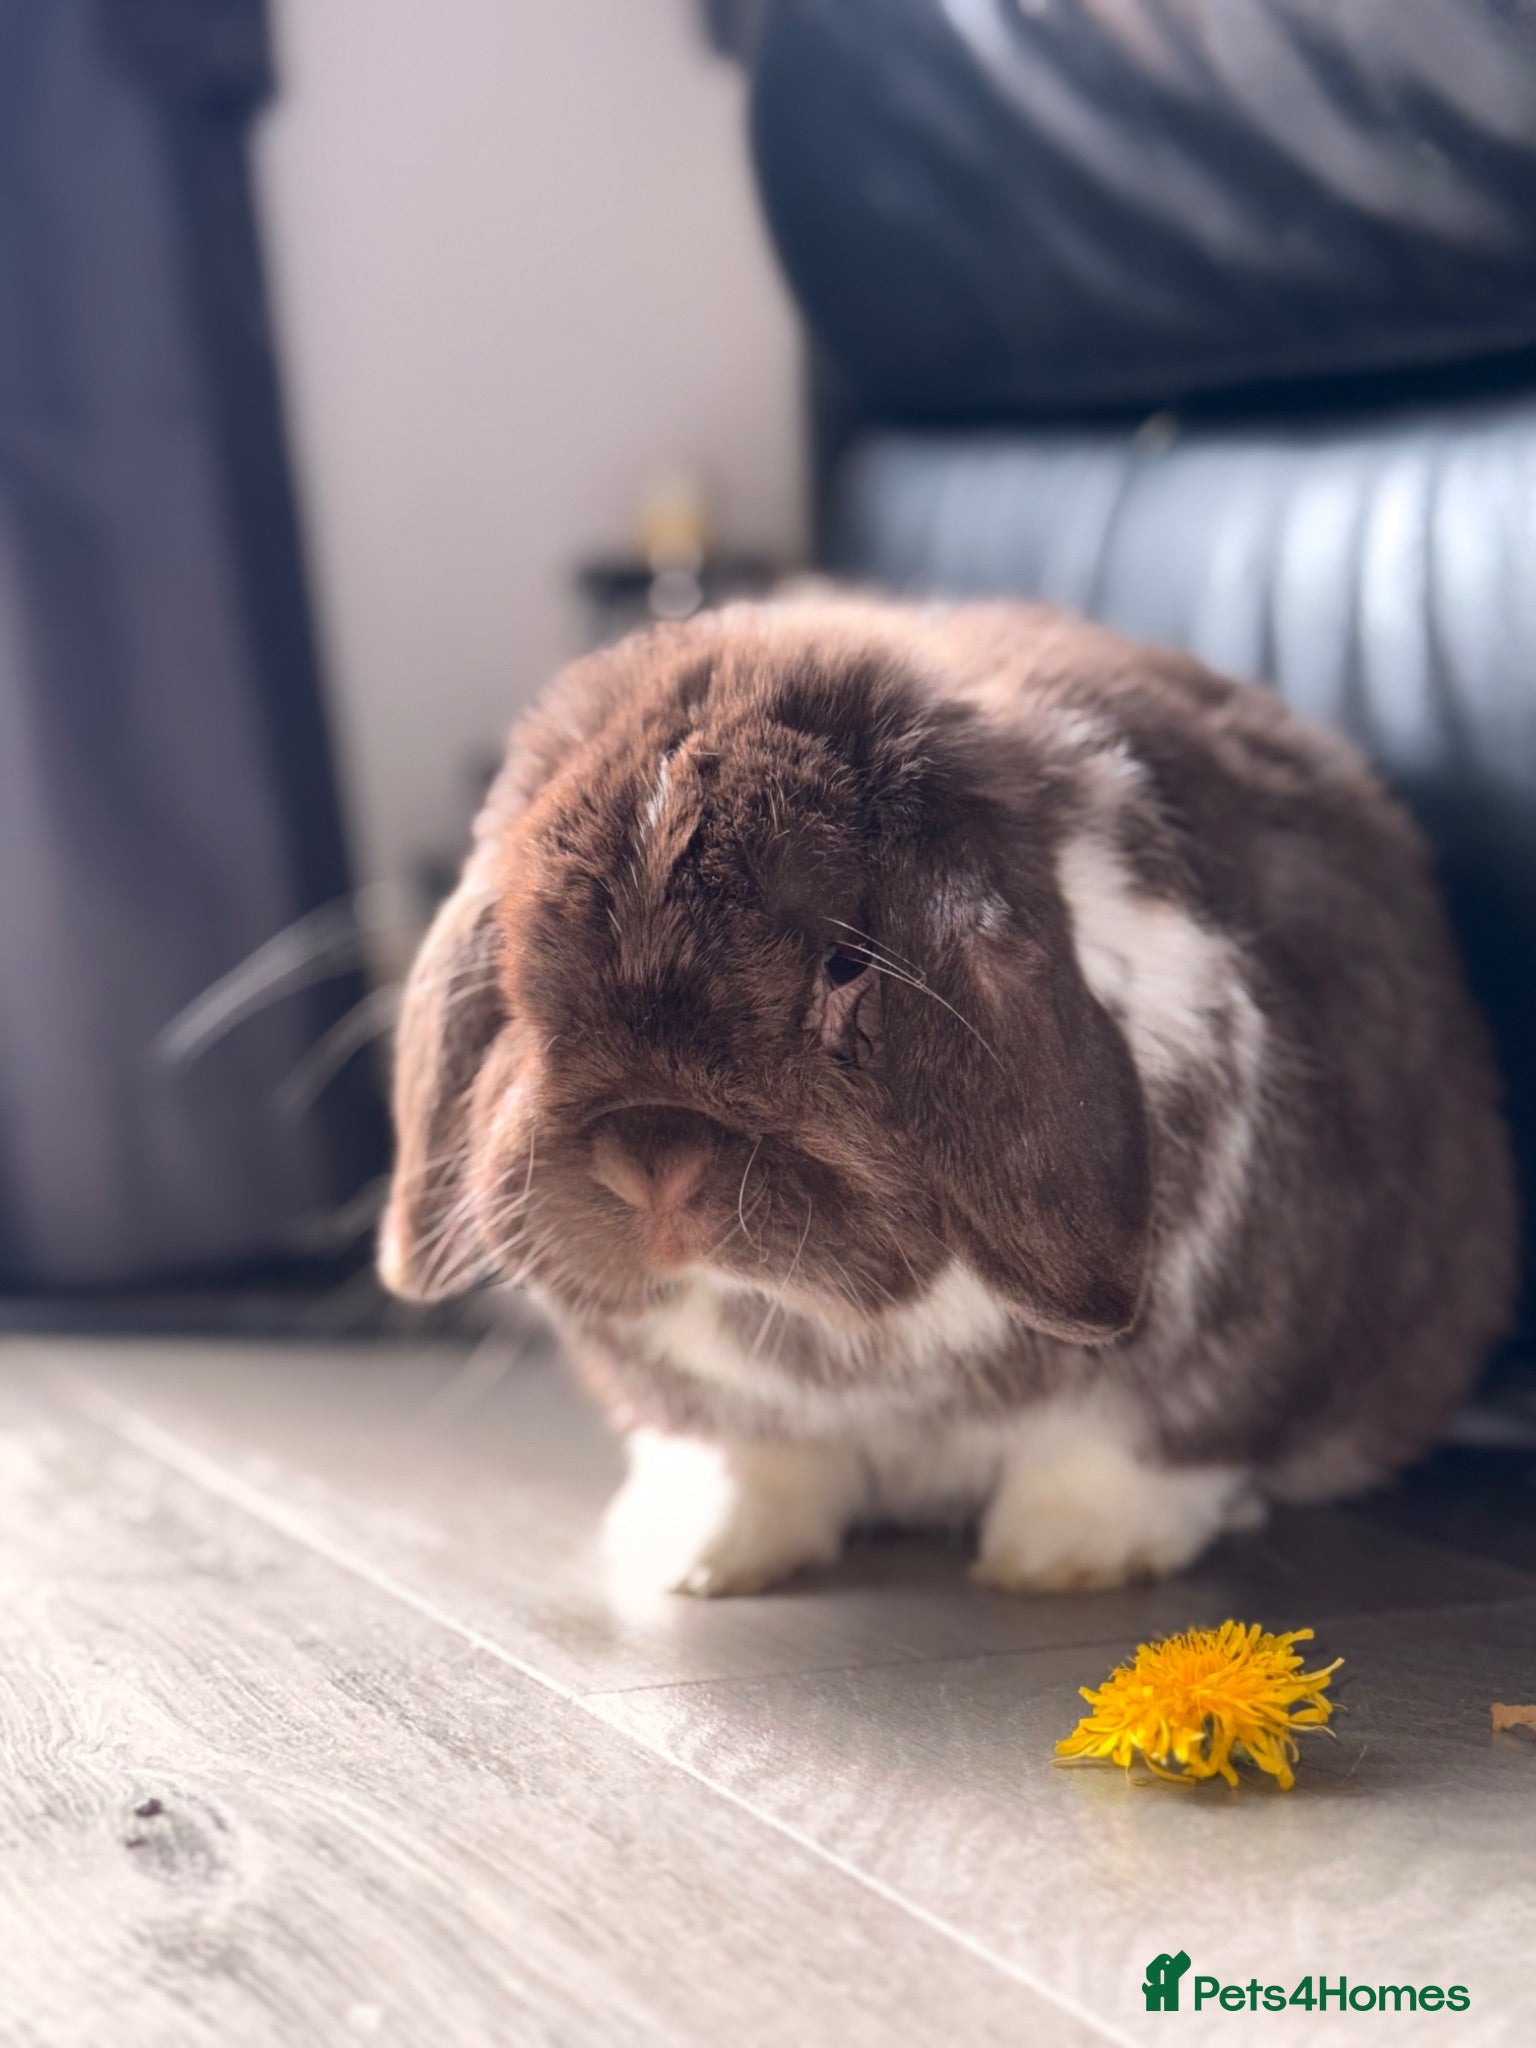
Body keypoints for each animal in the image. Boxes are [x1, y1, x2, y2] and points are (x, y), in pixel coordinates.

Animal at [379, 594, 1516, 1596]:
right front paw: (703, 1559)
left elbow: (1123, 1457)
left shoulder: (1210, 1374)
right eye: (517, 974)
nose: (653, 1158)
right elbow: (745, 1461)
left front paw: (1066, 1560)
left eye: (846, 964)